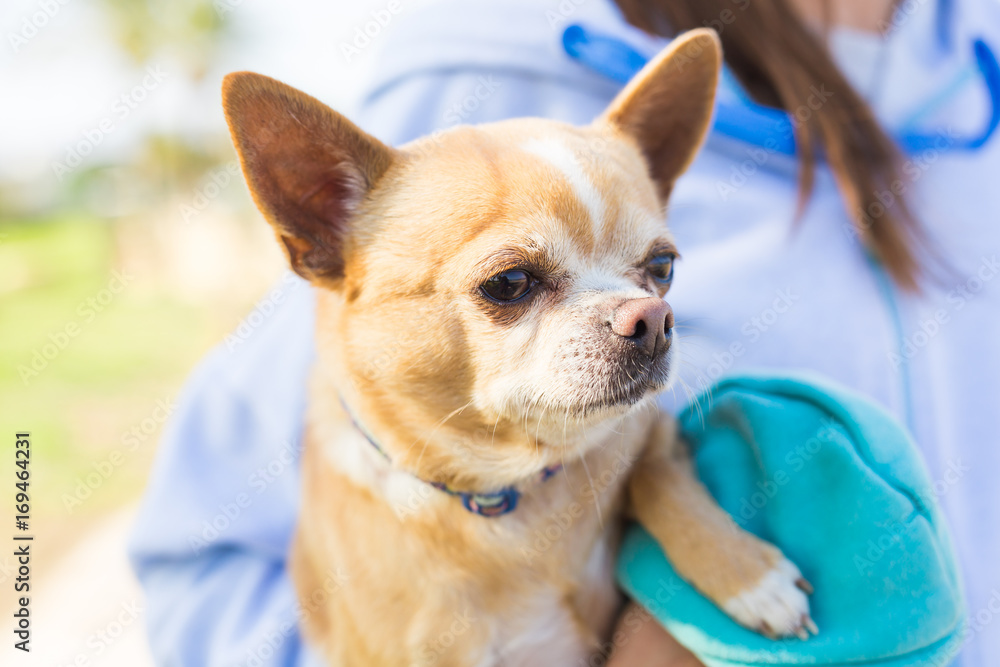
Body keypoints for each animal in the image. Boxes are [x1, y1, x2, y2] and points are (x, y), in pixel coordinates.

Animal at [223, 28, 816, 664]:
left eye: (663, 267)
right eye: (509, 282)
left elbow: (658, 476)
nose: (653, 318)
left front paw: (746, 573)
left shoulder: (651, 431)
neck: (510, 491)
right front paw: (749, 575)